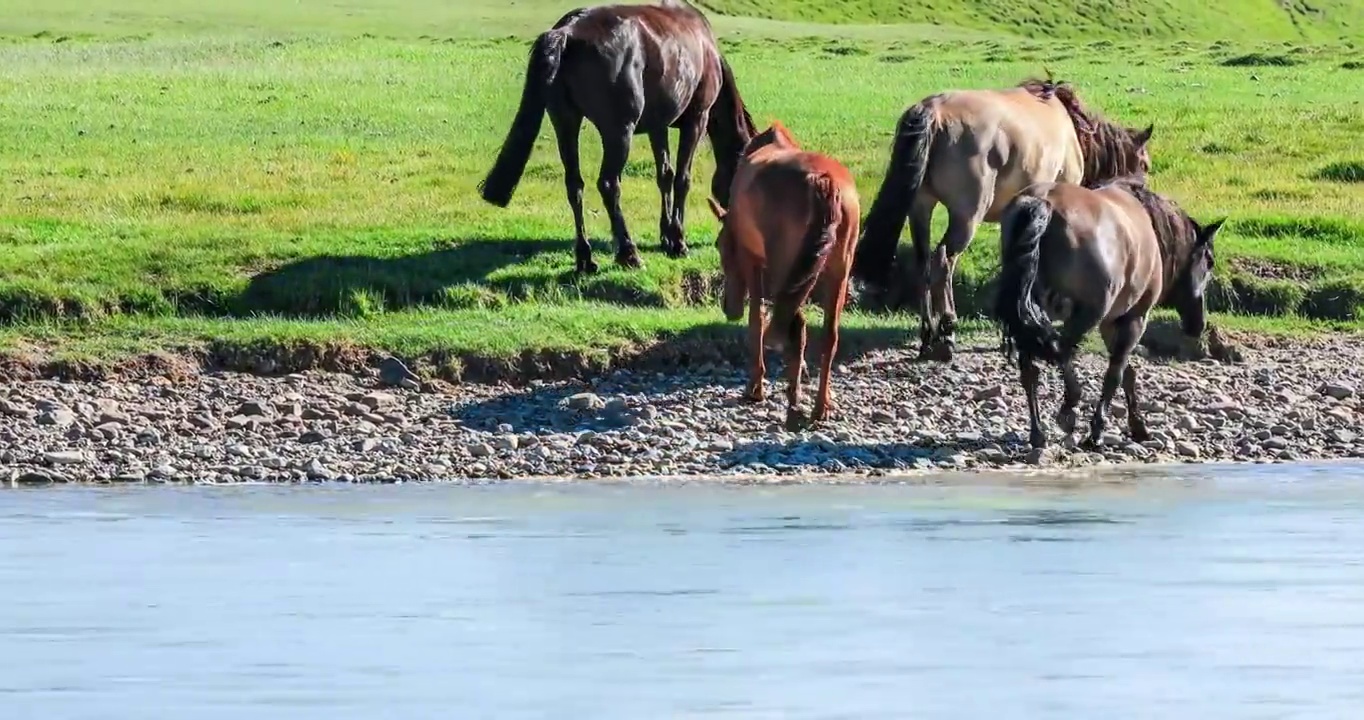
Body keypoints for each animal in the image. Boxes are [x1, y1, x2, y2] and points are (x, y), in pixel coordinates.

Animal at [477, 0, 758, 274]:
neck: (707, 50)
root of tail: (568, 32)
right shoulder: (696, 120)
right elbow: (682, 179)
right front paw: (678, 241)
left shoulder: (658, 126)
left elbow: (664, 176)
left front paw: (666, 236)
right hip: (619, 132)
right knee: (609, 184)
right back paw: (628, 253)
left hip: (566, 123)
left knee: (574, 185)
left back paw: (585, 259)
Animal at [709, 120, 856, 430]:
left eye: (719, 245)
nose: (728, 308)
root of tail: (825, 183)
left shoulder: (754, 262)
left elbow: (756, 318)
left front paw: (755, 386)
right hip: (838, 270)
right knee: (828, 335)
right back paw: (820, 406)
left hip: (784, 268)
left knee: (793, 325)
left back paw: (793, 398)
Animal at [856, 75, 1156, 360]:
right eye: (1145, 164)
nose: (1139, 198)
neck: (1073, 129)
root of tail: (933, 113)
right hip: (967, 214)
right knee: (943, 261)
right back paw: (947, 334)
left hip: (921, 206)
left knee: (922, 264)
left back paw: (928, 337)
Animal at [992, 174, 1227, 450]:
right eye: (1209, 262)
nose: (1198, 324)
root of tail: (1043, 202)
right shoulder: (1134, 318)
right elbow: (1115, 373)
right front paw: (1097, 431)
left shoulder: (1110, 322)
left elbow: (1127, 373)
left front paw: (1138, 426)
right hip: (1086, 313)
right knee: (1060, 349)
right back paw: (1069, 408)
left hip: (1031, 315)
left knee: (1031, 369)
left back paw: (1038, 433)